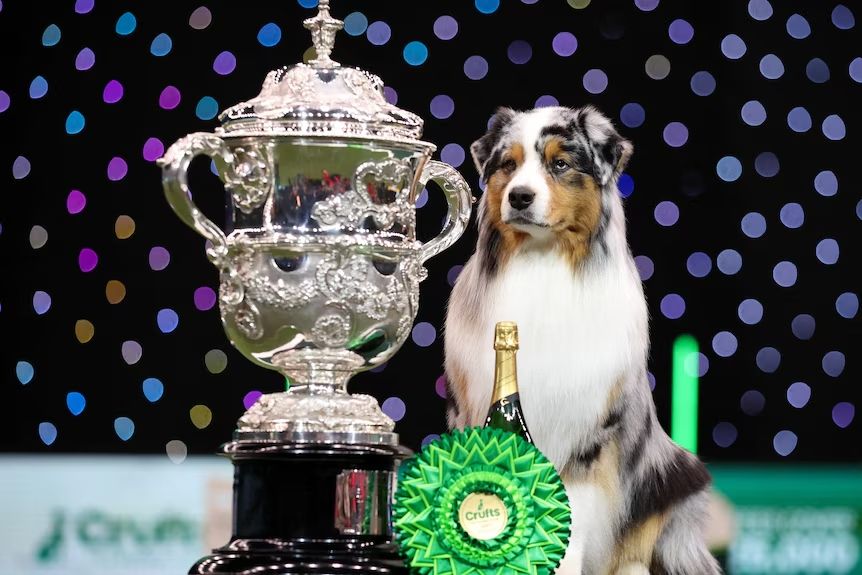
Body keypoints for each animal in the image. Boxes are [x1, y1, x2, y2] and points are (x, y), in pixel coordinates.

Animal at [446, 107, 724, 575]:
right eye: (508, 165)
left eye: (560, 164)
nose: (519, 197)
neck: (544, 259)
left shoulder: (589, 431)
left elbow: (572, 516)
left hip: (675, 478)